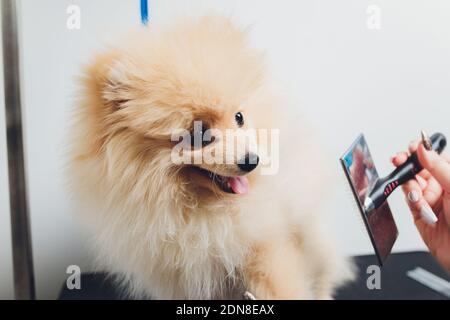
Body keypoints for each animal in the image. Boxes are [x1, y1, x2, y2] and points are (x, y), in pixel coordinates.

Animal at [68, 14, 354, 300]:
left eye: (239, 117)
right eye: (198, 134)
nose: (252, 161)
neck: (202, 214)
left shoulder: (265, 247)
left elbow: (283, 288)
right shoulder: (185, 275)